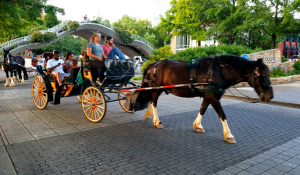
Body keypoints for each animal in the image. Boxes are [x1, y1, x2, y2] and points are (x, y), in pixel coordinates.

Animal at [131, 55, 272, 144]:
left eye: (269, 74)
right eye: (263, 76)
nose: (270, 96)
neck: (217, 72)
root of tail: (153, 64)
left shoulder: (208, 96)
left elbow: (202, 110)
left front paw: (197, 125)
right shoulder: (214, 98)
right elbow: (222, 115)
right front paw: (229, 135)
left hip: (156, 89)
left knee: (151, 101)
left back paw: (149, 115)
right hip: (156, 88)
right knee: (154, 102)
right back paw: (157, 121)